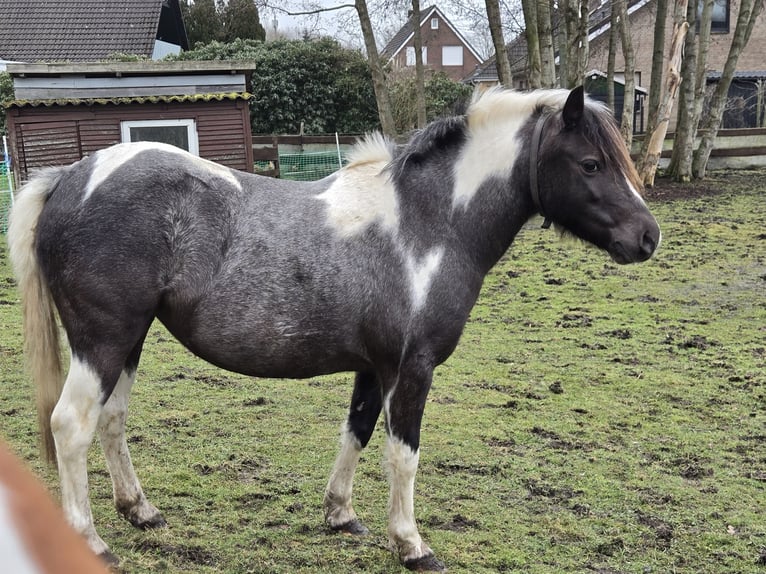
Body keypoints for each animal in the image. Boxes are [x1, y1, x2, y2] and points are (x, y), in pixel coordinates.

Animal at [8, 86, 660, 571]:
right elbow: (404, 455)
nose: (647, 237)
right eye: (591, 164)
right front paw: (411, 544)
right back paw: (91, 541)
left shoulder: (374, 367)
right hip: (103, 342)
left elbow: (358, 433)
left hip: (129, 341)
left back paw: (140, 511)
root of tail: (70, 176)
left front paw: (341, 515)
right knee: (71, 426)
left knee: (111, 421)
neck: (428, 223)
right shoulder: (412, 369)